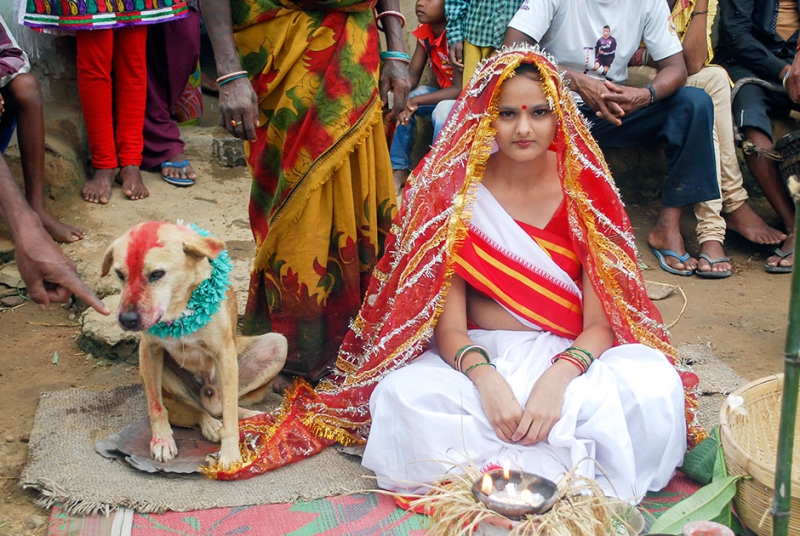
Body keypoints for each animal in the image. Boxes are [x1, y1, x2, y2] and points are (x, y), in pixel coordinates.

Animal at [101, 222, 286, 468]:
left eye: (157, 274)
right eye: (120, 274)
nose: (127, 320)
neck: (178, 309)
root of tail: (208, 391)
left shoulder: (224, 353)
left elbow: (229, 412)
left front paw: (230, 454)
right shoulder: (149, 350)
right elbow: (156, 407)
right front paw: (162, 440)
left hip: (278, 344)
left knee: (223, 407)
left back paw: (252, 415)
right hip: (159, 374)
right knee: (197, 410)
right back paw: (210, 424)